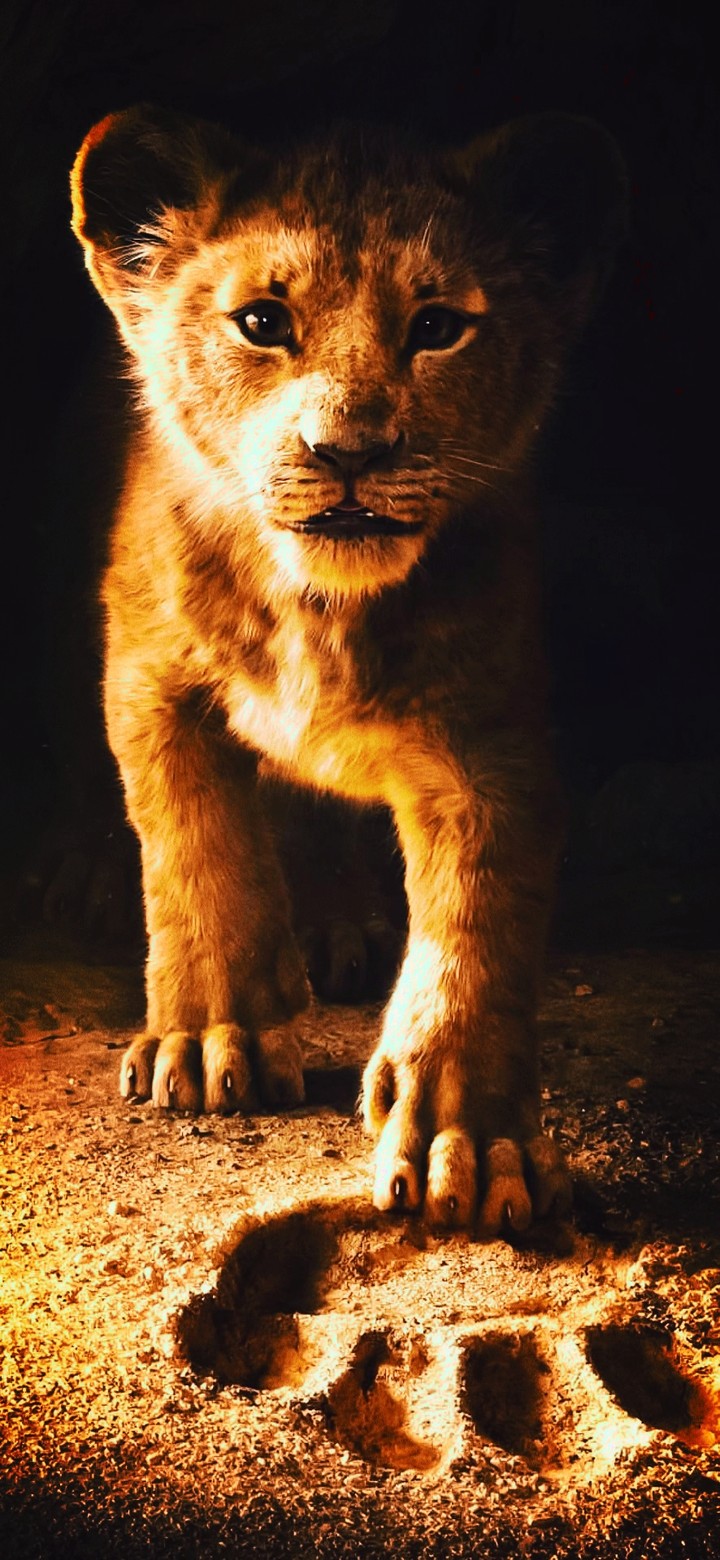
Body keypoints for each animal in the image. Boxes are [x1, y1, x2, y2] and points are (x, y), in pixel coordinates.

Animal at [70, 106, 626, 1231]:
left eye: (438, 326)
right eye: (262, 322)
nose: (350, 452)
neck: (318, 609)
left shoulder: (490, 737)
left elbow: (476, 928)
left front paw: (471, 1141)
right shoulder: (149, 675)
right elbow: (198, 851)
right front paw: (211, 1039)